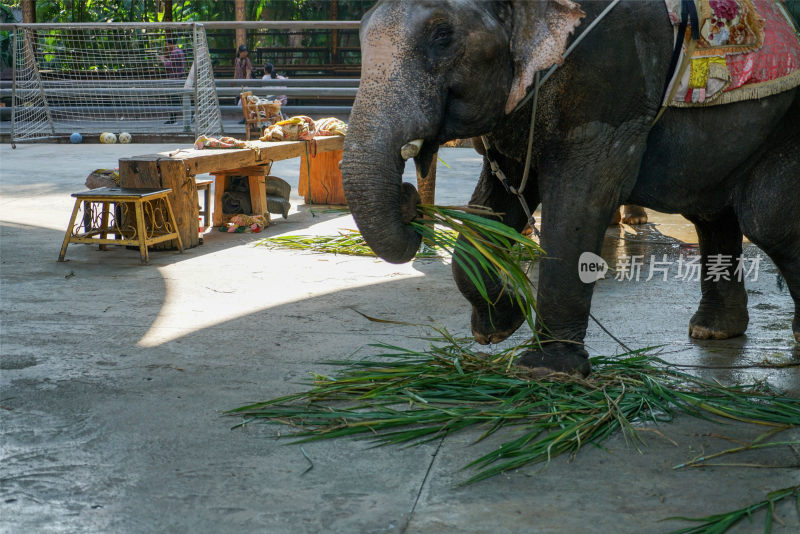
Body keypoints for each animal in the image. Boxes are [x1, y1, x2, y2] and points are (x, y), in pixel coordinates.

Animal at [340, 0, 800, 376]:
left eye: (442, 36)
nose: (410, 202)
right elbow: (493, 208)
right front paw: (500, 326)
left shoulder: (609, 79)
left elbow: (581, 198)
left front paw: (546, 370)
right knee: (712, 214)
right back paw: (712, 332)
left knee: (767, 222)